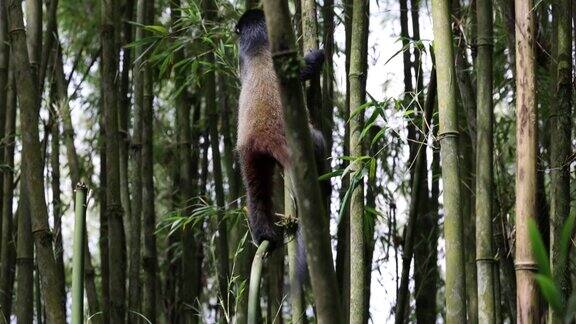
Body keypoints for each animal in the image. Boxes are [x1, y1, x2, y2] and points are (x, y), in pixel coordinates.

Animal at [233, 8, 326, 251]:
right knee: (320, 145)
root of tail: (263, 137)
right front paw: (318, 55)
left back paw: (264, 235)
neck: (256, 46)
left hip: (250, 157)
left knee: (256, 196)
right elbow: (306, 67)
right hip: (304, 142)